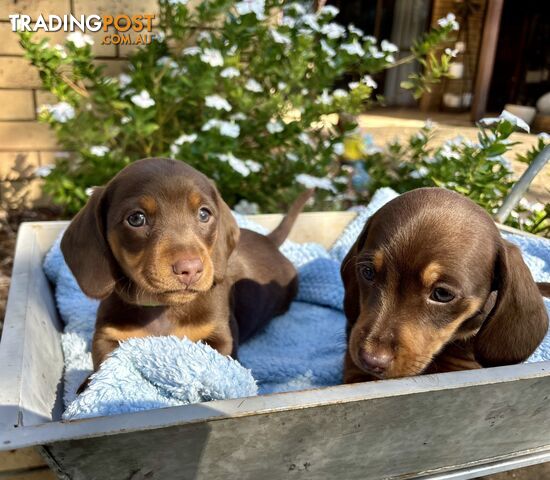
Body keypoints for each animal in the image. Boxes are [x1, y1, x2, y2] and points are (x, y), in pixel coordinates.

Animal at [61, 158, 310, 376]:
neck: (163, 308)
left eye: (204, 213)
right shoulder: (107, 335)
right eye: (136, 219)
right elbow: (104, 364)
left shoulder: (221, 337)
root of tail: (268, 240)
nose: (190, 269)